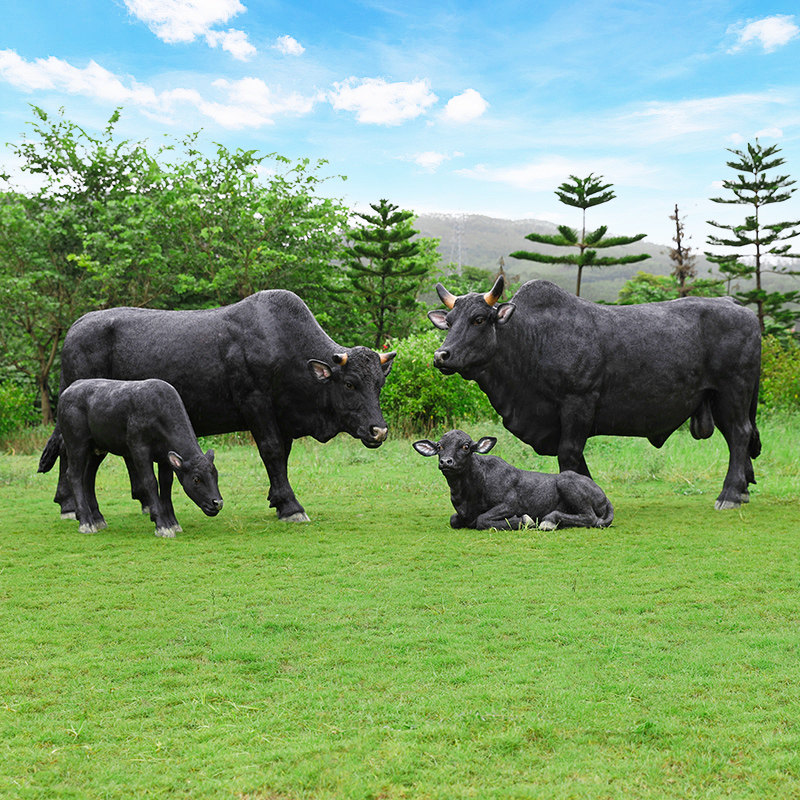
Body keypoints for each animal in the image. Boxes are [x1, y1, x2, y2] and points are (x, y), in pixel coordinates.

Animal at [38, 378, 222, 536]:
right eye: (196, 479)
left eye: (216, 476)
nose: (218, 502)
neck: (159, 411)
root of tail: (70, 389)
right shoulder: (139, 449)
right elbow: (150, 481)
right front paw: (162, 524)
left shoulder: (164, 457)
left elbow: (166, 484)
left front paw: (173, 522)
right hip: (76, 444)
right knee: (74, 475)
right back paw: (86, 522)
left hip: (97, 448)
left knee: (88, 477)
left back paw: (97, 518)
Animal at [413, 429, 613, 530]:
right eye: (439, 446)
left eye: (466, 446)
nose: (446, 462)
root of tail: (604, 496)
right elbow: (453, 520)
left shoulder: (511, 504)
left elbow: (482, 520)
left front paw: (526, 520)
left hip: (567, 481)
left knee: (590, 518)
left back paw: (548, 521)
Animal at [428, 276, 761, 510]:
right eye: (449, 323)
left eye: (479, 319)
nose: (442, 355)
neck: (532, 337)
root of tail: (739, 308)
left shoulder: (579, 402)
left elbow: (569, 452)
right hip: (717, 399)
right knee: (737, 439)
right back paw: (743, 489)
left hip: (733, 392)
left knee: (740, 434)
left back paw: (730, 494)